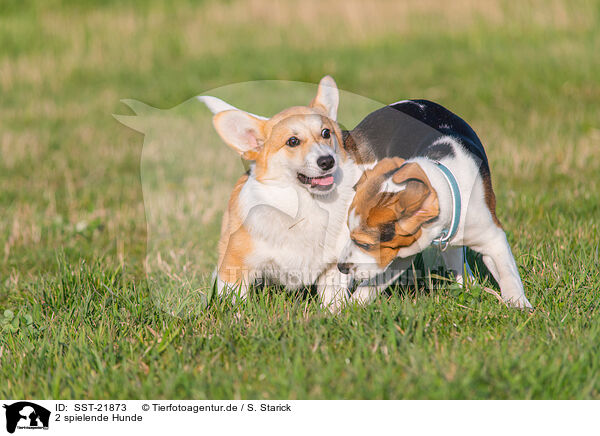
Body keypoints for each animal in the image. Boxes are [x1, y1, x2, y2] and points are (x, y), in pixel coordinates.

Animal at [199, 76, 364, 310]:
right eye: (292, 141)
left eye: (326, 133)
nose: (327, 161)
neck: (306, 204)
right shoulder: (236, 263)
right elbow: (235, 300)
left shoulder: (333, 267)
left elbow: (333, 298)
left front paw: (333, 313)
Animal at [340, 100, 532, 308]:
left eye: (365, 244)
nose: (342, 267)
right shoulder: (400, 251)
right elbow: (372, 284)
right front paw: (348, 308)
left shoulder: (492, 236)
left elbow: (508, 273)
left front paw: (519, 305)